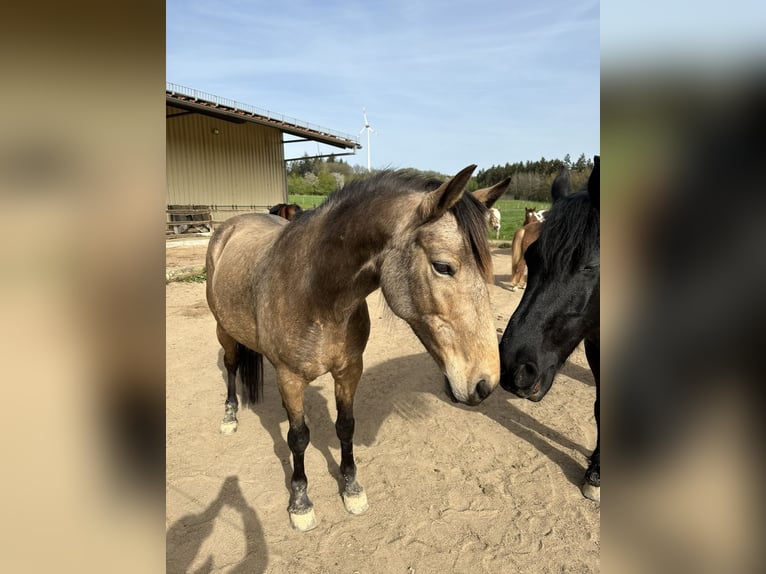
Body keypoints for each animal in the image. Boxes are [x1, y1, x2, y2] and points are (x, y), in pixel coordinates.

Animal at [207, 165, 512, 532]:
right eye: (443, 266)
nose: (486, 384)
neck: (315, 294)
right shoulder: (290, 378)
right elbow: (298, 437)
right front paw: (300, 502)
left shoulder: (349, 370)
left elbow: (345, 426)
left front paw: (351, 487)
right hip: (224, 330)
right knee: (231, 365)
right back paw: (230, 415)